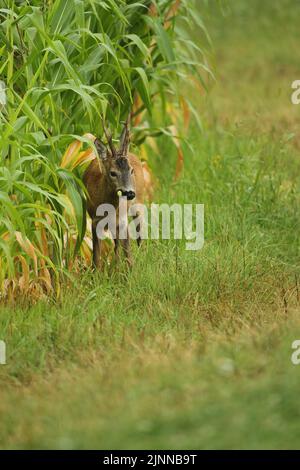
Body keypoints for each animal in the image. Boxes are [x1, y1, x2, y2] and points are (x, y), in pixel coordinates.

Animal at [84, 117, 145, 268]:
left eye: (131, 170)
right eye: (113, 173)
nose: (130, 193)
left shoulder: (122, 221)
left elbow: (128, 253)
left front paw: (130, 270)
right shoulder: (95, 220)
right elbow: (96, 257)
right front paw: (97, 273)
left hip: (139, 204)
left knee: (139, 236)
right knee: (117, 246)